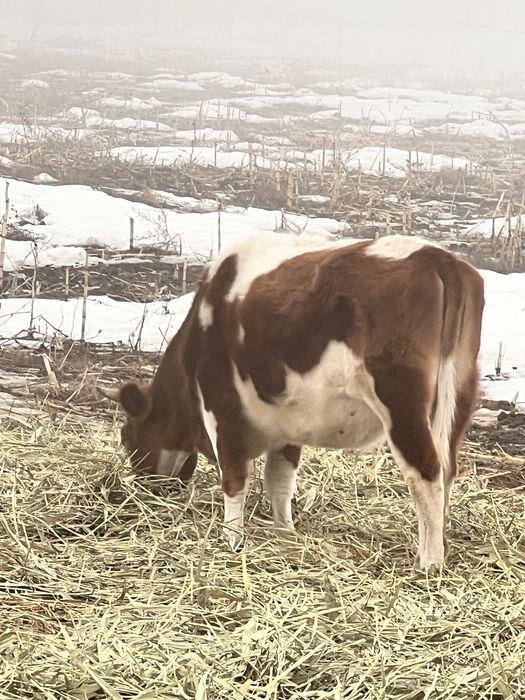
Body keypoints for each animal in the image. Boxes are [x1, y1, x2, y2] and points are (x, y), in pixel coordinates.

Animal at [102, 233, 484, 571]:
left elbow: (234, 478)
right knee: (448, 469)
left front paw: (231, 539)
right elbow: (280, 478)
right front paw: (284, 532)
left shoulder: (221, 410)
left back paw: (429, 563)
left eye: (127, 436)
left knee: (427, 473)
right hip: (459, 395)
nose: (140, 488)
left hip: (400, 402)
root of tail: (437, 257)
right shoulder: (286, 422)